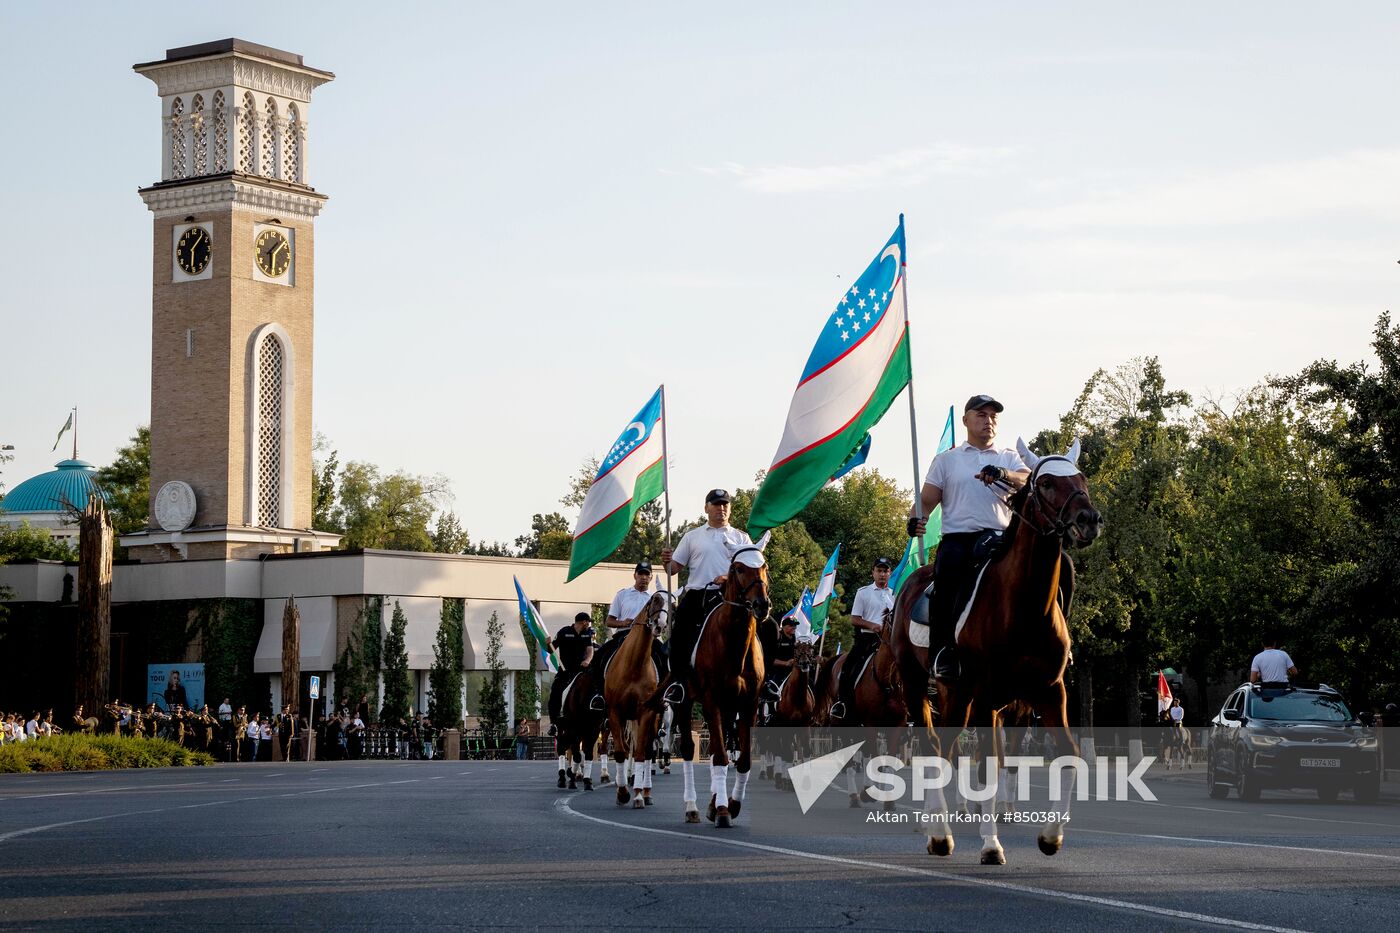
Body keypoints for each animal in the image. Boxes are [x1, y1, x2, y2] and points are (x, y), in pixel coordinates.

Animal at [602, 591, 672, 801]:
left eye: (672, 604)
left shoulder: (646, 713)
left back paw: (645, 790)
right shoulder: (615, 713)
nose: (659, 625)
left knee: (647, 750)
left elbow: (641, 752)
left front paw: (638, 795)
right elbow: (620, 752)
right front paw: (622, 791)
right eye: (655, 600)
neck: (633, 666)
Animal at [672, 546, 772, 823]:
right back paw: (693, 807)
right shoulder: (711, 701)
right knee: (688, 748)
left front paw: (732, 804)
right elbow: (719, 757)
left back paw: (713, 803)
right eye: (738, 568)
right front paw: (724, 810)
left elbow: (742, 759)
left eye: (764, 567)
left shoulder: (748, 705)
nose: (762, 604)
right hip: (685, 703)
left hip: (729, 709)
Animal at [924, 439, 1097, 862]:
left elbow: (1068, 752)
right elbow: (986, 764)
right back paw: (939, 833)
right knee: (942, 750)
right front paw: (991, 845)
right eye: (1047, 482)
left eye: (1083, 478)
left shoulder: (1051, 691)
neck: (1025, 607)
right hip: (957, 697)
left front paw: (1051, 837)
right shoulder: (986, 694)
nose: (1089, 519)